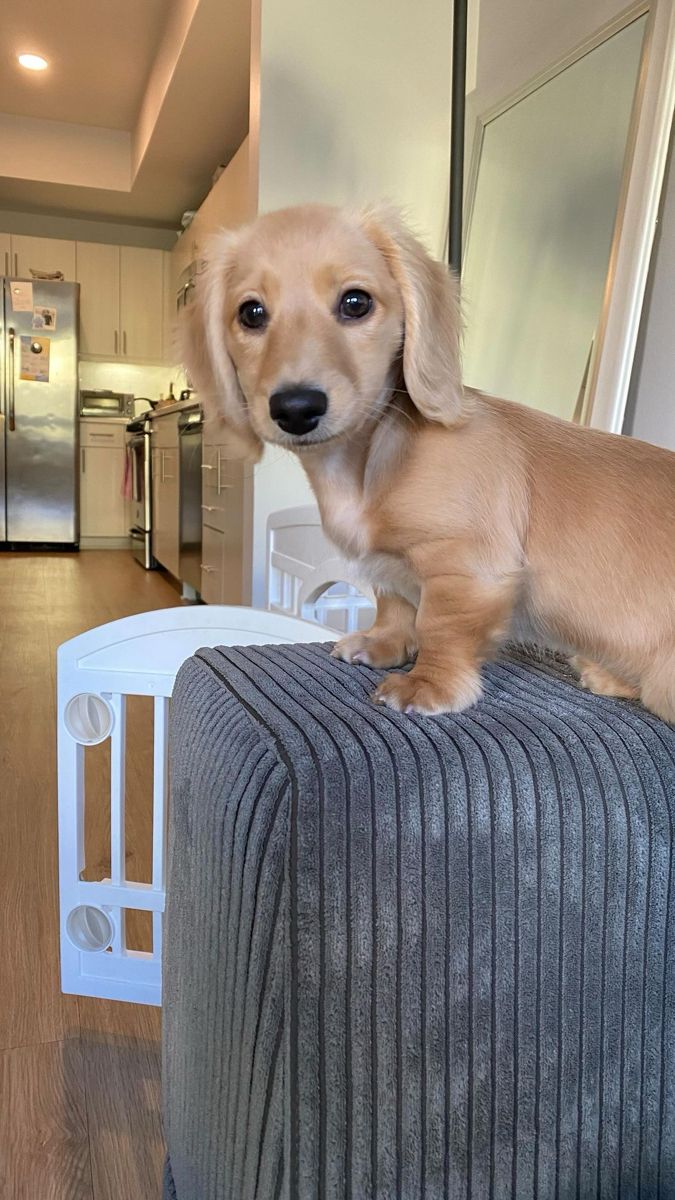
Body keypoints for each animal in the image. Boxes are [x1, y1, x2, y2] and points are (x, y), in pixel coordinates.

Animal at [181, 204, 672, 720]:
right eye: (251, 313)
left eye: (356, 303)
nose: (296, 409)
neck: (369, 459)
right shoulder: (390, 566)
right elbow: (395, 603)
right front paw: (384, 643)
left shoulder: (467, 569)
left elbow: (439, 625)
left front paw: (428, 683)